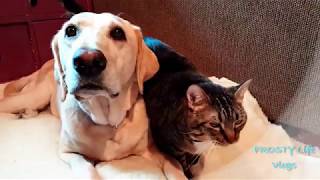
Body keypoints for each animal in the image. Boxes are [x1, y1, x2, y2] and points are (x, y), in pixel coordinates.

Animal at [0, 12, 185, 179]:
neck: (107, 124)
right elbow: (86, 168)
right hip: (34, 96)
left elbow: (174, 166)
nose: (87, 61)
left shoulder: (153, 151)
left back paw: (27, 113)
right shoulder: (69, 153)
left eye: (118, 32)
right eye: (71, 30)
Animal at [144, 37, 251, 179]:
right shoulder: (167, 142)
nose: (232, 140)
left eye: (238, 121)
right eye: (215, 124)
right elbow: (182, 160)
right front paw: (187, 172)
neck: (201, 138)